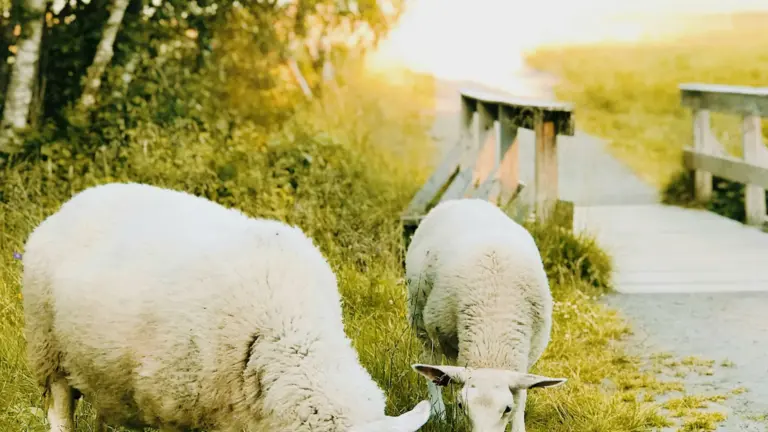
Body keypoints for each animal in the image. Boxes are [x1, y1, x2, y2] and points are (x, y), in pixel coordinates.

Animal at [404, 198, 567, 432]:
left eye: (507, 409)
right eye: (462, 405)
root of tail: (465, 200)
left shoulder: (527, 356)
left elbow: (521, 396)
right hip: (420, 315)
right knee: (430, 359)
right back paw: (438, 412)